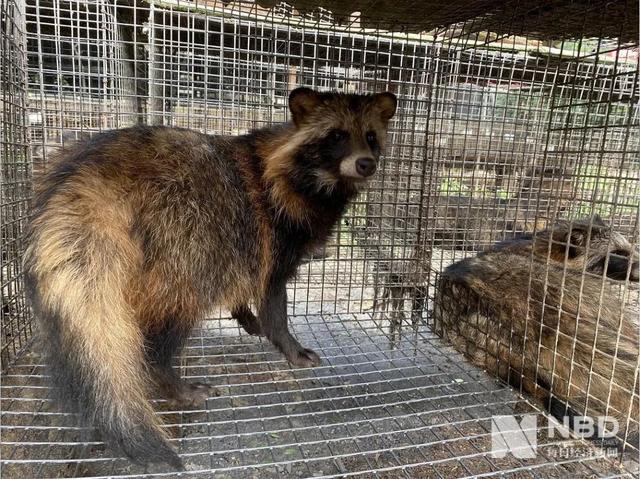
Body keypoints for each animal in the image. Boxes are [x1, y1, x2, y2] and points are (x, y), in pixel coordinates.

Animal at [25, 87, 398, 468]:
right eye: (336, 136)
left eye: (371, 137)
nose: (366, 163)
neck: (319, 180)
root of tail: (94, 177)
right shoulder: (274, 236)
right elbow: (273, 300)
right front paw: (288, 345)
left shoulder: (245, 241)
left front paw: (244, 314)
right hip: (181, 240)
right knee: (169, 321)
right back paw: (171, 380)